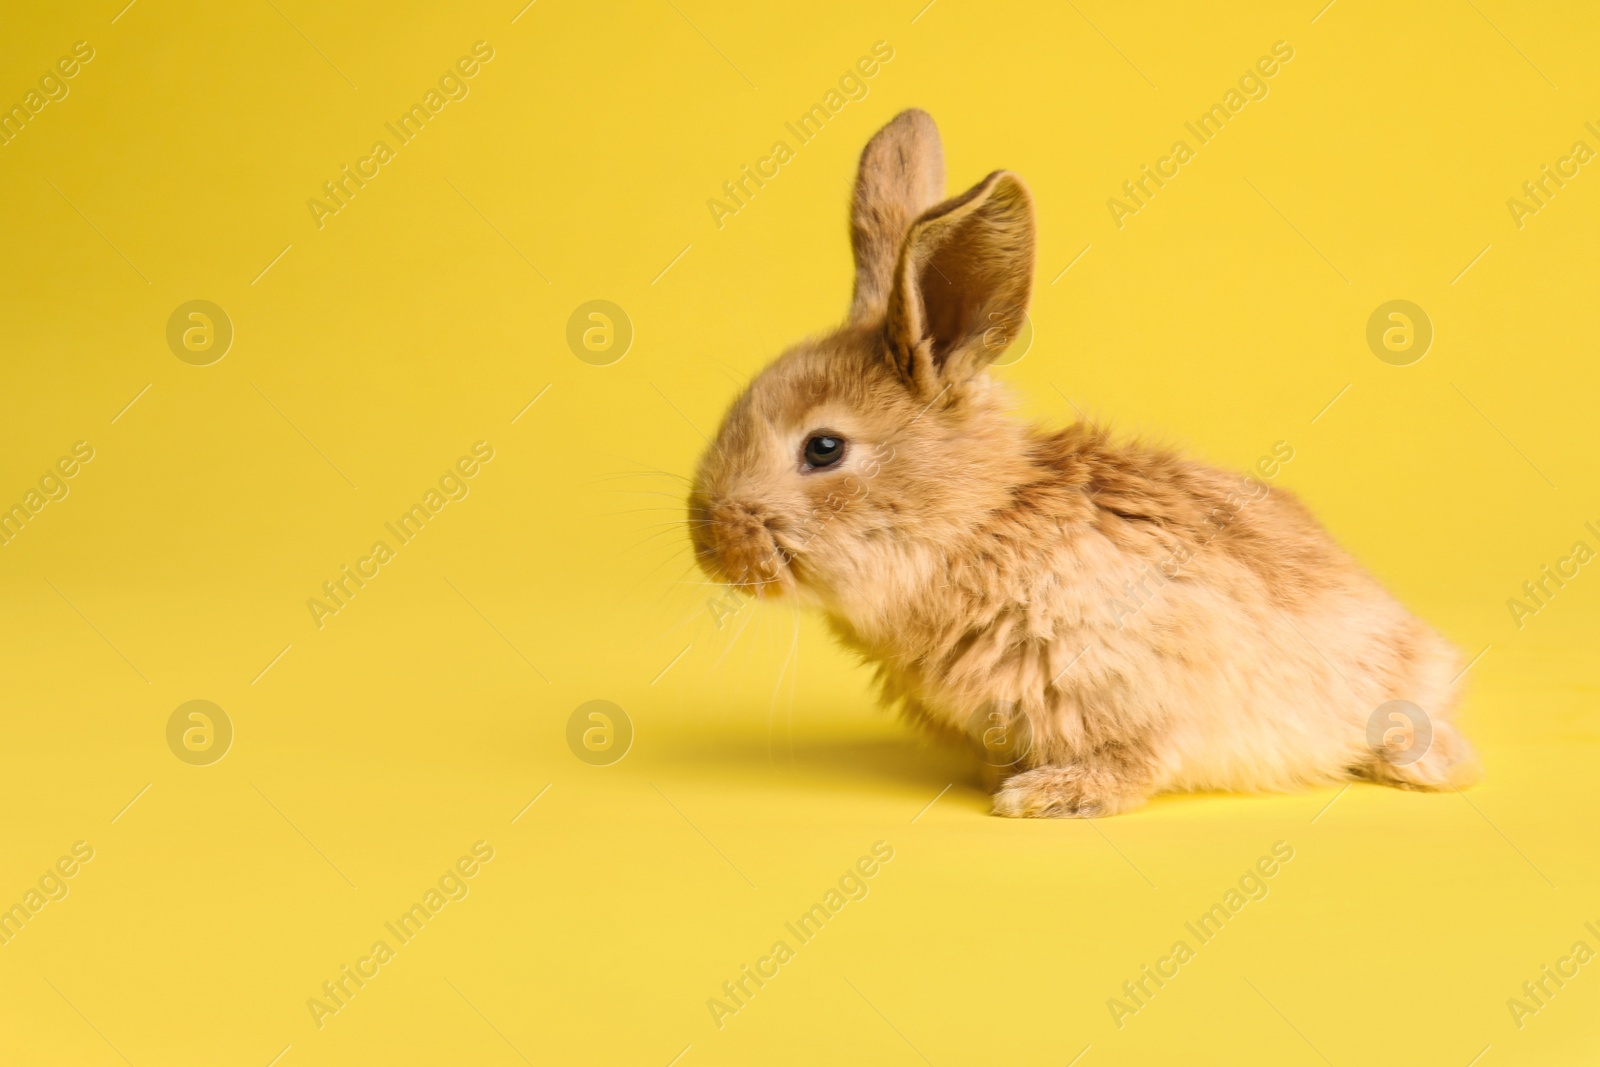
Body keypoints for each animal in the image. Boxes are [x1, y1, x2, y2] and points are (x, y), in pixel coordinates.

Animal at [681, 108, 1478, 819]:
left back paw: (1438, 766)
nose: (707, 543)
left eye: (824, 448)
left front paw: (1046, 797)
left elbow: (1137, 757)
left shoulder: (1141, 679)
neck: (973, 521)